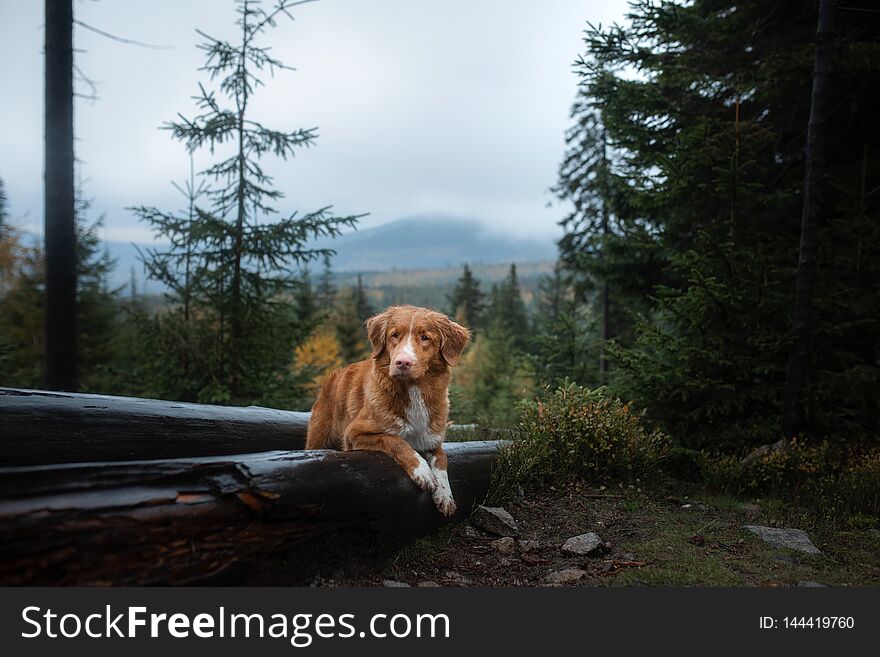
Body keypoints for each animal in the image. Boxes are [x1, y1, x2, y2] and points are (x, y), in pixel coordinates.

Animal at [304, 304, 468, 516]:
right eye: (394, 335)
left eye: (425, 337)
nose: (402, 362)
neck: (413, 390)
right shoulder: (354, 433)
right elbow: (394, 439)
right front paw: (421, 470)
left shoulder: (432, 439)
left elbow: (442, 459)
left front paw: (445, 494)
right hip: (318, 438)